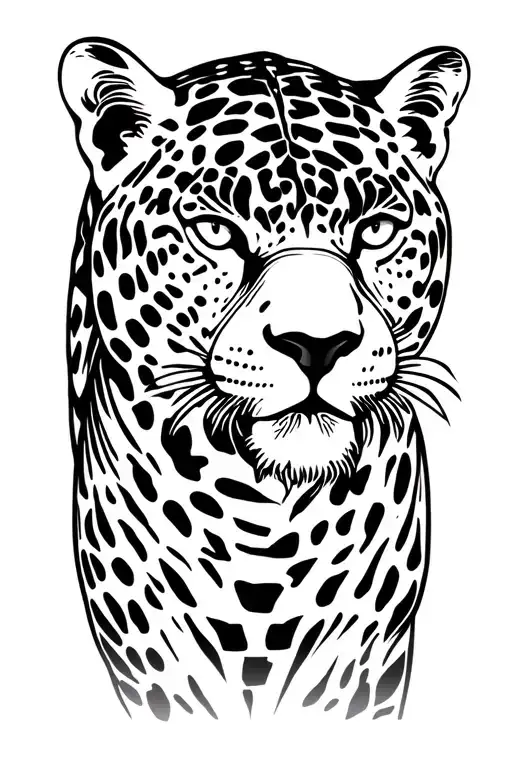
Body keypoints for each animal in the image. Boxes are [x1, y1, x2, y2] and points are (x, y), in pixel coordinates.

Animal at [59, 37, 469, 722]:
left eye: (376, 231)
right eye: (216, 232)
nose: (317, 345)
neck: (264, 526)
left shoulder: (364, 661)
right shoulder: (150, 655)